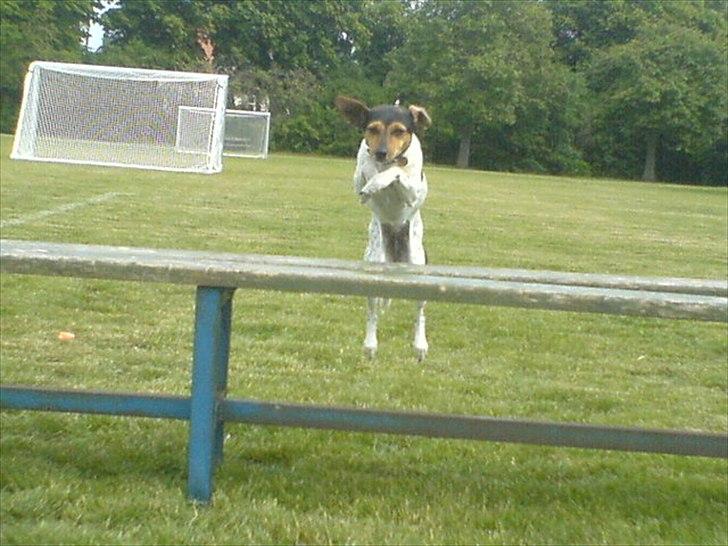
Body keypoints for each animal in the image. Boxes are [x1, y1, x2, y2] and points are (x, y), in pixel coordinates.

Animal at [336, 96, 432, 362]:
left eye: (399, 131)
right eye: (372, 129)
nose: (381, 152)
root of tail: (396, 259)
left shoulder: (412, 193)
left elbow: (396, 172)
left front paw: (379, 180)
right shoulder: (359, 177)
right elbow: (366, 170)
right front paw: (372, 178)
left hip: (419, 270)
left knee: (419, 314)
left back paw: (420, 346)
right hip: (374, 267)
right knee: (373, 312)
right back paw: (370, 345)